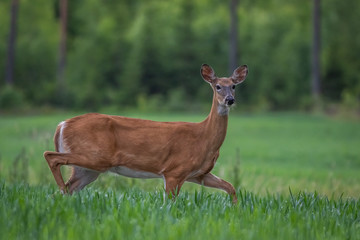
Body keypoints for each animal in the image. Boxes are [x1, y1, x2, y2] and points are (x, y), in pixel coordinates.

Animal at [43, 63, 248, 202]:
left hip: (88, 170)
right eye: (218, 86)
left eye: (234, 86)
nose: (230, 100)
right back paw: (61, 190)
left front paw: (235, 208)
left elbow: (230, 187)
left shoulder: (197, 173)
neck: (203, 137)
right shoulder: (175, 170)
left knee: (64, 187)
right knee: (51, 156)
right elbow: (170, 203)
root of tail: (62, 125)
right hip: (95, 156)